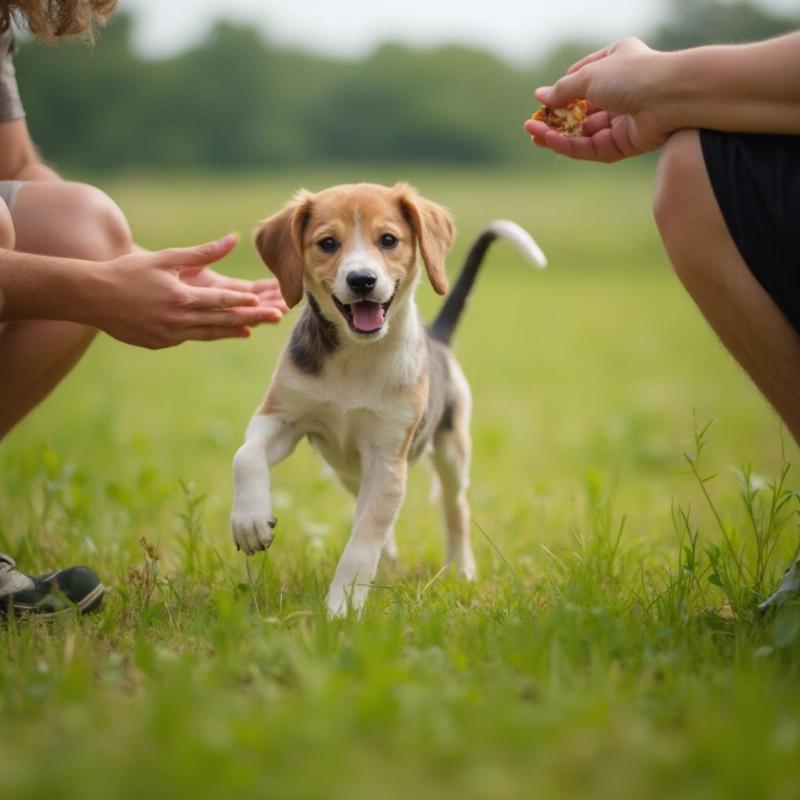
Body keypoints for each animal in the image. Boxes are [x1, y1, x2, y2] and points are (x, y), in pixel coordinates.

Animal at [228, 183, 548, 620]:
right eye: (327, 243)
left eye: (389, 240)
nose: (362, 280)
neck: (357, 357)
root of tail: (438, 338)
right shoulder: (281, 417)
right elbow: (245, 456)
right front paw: (250, 520)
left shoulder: (387, 458)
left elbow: (361, 547)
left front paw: (342, 608)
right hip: (347, 472)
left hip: (451, 450)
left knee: (454, 509)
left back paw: (461, 568)